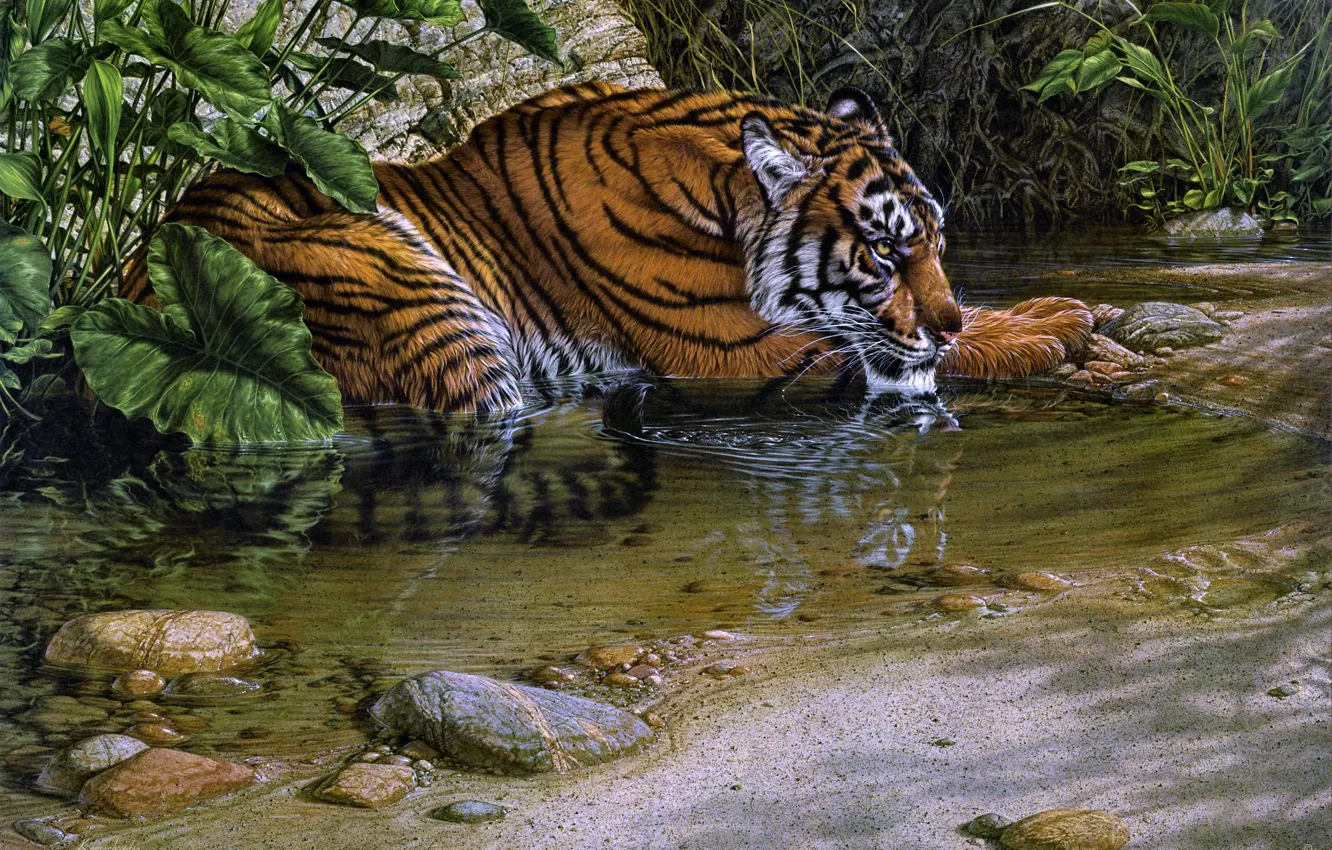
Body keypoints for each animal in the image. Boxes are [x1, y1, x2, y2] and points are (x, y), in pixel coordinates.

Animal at [122, 83, 1093, 413]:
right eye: (887, 256)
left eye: (939, 245)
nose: (946, 317)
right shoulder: (745, 353)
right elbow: (911, 355)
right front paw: (1052, 325)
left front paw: (1056, 306)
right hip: (408, 289)